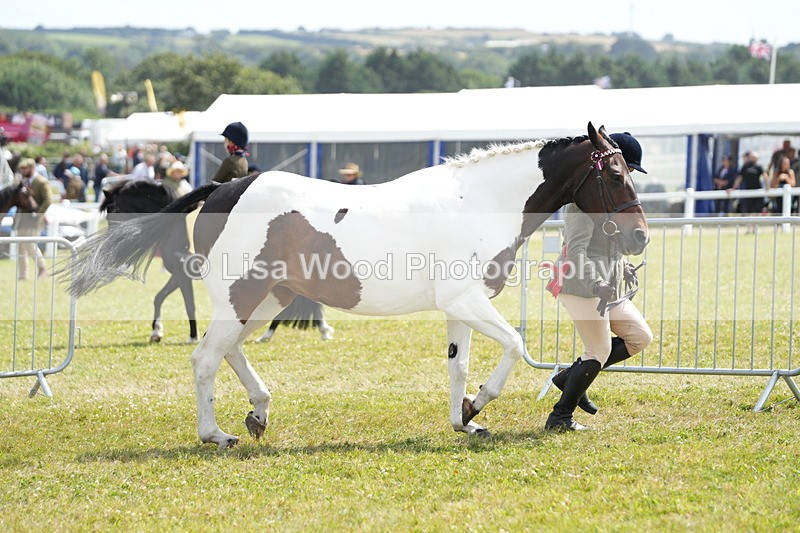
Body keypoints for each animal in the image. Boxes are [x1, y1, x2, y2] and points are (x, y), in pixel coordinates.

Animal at [68, 123, 649, 449]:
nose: (640, 236)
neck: (479, 201)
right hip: (241, 297)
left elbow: (459, 366)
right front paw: (477, 407)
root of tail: (222, 189)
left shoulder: (460, 307)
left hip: (267, 299)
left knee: (230, 351)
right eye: (614, 174)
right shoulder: (466, 300)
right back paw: (217, 434)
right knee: (206, 358)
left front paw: (464, 420)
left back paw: (258, 411)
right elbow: (514, 346)